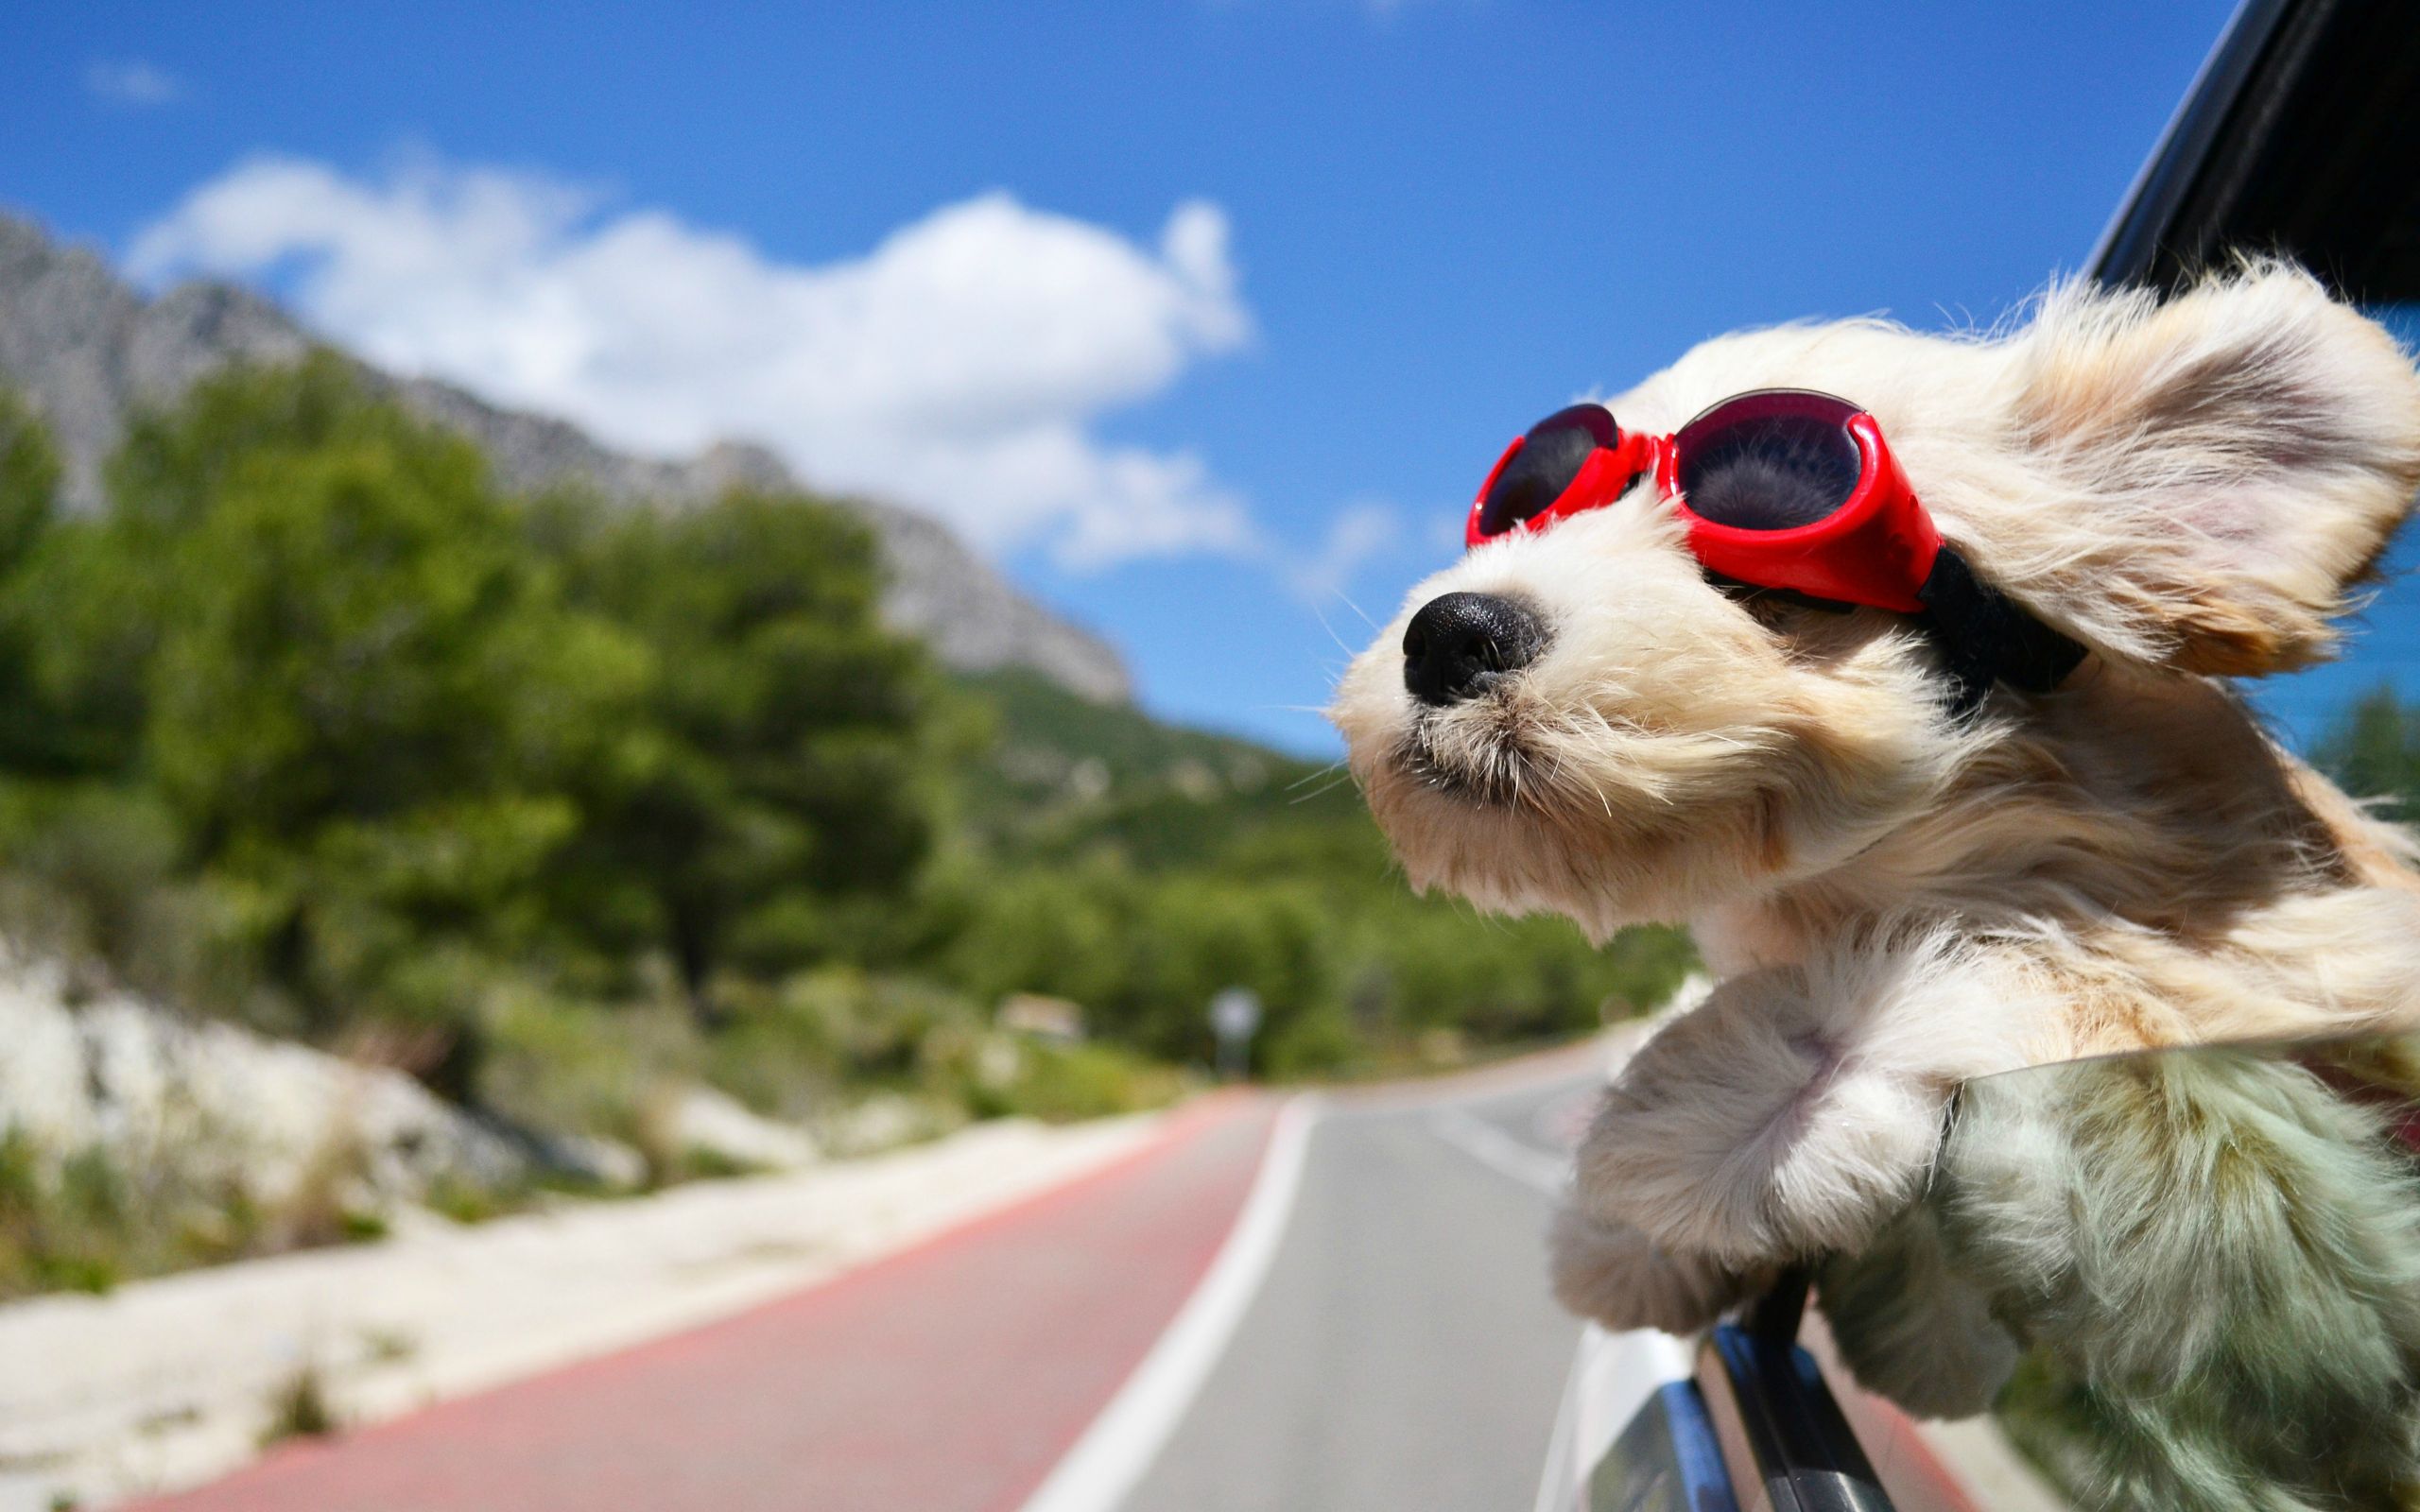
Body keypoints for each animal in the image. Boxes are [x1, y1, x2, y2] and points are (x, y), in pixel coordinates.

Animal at [1336, 265, 2420, 1489]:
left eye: (1768, 568)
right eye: (1528, 502)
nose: (1449, 633)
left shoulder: (2318, 969)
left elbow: (2085, 976)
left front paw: (1724, 1109)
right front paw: (1630, 1230)